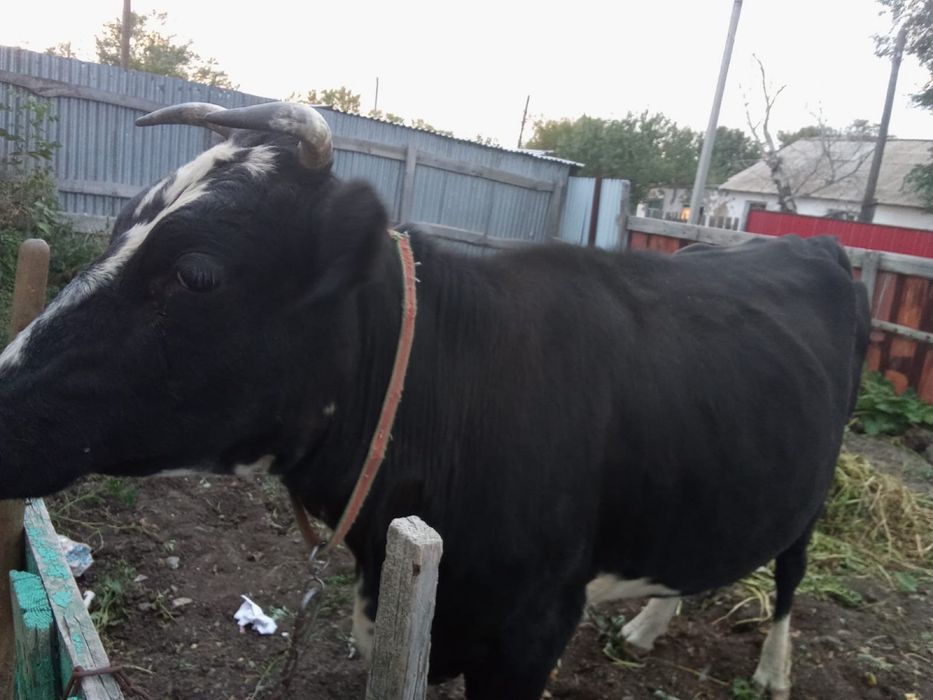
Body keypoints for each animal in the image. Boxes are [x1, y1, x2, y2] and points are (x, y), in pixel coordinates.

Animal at [0, 101, 869, 700]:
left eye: (197, 273)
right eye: (119, 227)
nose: (0, 394)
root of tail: (810, 244)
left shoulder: (530, 630)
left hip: (814, 482)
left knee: (790, 571)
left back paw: (773, 669)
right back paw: (649, 622)